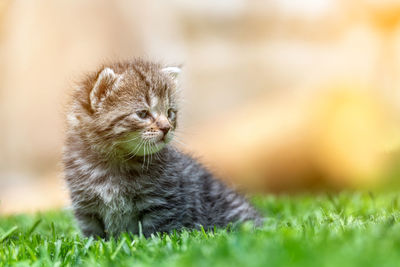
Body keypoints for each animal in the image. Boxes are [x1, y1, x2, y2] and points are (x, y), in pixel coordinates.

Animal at [62, 59, 262, 239]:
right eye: (142, 114)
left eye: (170, 113)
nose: (167, 128)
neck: (114, 162)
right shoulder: (86, 208)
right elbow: (94, 236)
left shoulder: (162, 203)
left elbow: (157, 232)